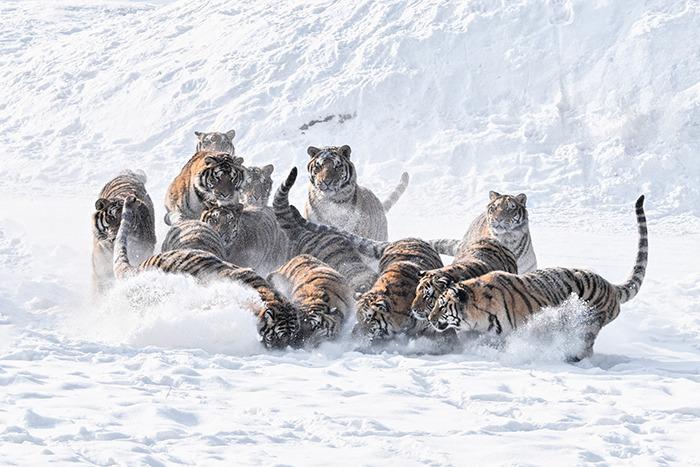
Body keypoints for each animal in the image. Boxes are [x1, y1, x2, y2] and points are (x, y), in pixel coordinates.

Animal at [430, 196, 648, 364]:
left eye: (442, 306)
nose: (430, 319)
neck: (479, 316)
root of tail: (609, 285)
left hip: (588, 324)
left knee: (585, 345)